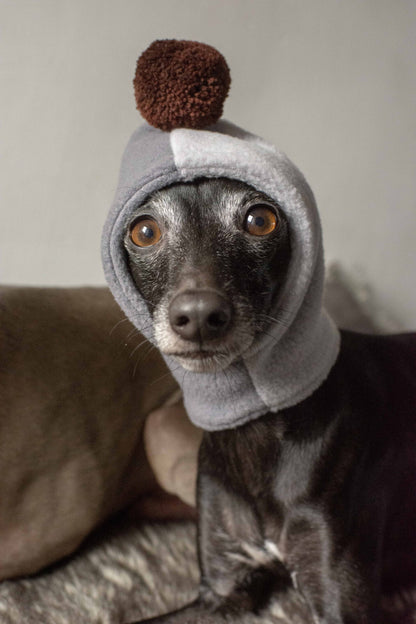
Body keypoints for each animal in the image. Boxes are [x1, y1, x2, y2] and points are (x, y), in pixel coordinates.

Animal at [122, 176, 416, 624]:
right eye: (144, 231)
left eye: (260, 220)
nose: (199, 317)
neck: (256, 431)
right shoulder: (222, 588)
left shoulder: (343, 605)